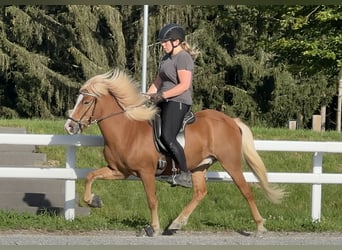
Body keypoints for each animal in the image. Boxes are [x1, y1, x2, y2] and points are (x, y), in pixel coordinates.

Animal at [65, 68, 286, 236]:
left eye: (86, 102)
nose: (69, 126)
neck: (127, 130)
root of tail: (231, 121)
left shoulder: (146, 172)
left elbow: (152, 200)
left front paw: (153, 228)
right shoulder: (120, 171)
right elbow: (91, 176)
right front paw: (93, 201)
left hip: (230, 163)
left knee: (246, 191)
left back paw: (259, 227)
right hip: (199, 166)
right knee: (200, 192)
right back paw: (176, 223)